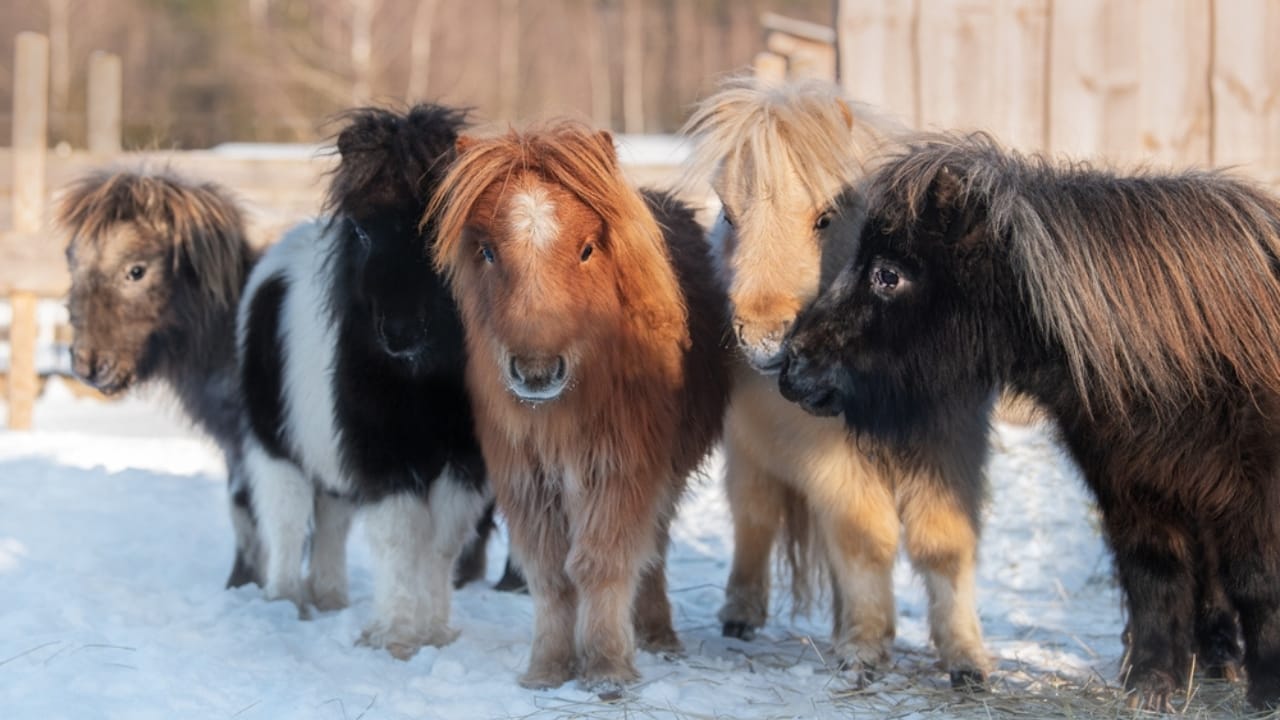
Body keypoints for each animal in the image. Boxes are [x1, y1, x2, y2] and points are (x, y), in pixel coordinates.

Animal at [59, 169, 263, 590]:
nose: (89, 365)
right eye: (72, 260)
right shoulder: (237, 446)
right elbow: (244, 510)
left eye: (136, 270)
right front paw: (242, 587)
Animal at [238, 103, 487, 659]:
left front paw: (433, 633)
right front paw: (395, 637)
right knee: (286, 521)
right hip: (275, 446)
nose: (398, 333)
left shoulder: (461, 461)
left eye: (436, 229)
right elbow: (400, 538)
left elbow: (441, 542)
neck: (422, 381)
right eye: (362, 232)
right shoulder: (382, 456)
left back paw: (329, 598)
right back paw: (287, 602)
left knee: (330, 521)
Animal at [429, 120, 732, 690]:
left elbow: (602, 564)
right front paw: (547, 668)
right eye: (487, 252)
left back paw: (657, 634)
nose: (537, 371)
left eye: (588, 249)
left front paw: (608, 668)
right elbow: (550, 575)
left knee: (653, 551)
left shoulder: (621, 469)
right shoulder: (527, 478)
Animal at [679, 75, 990, 687]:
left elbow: (943, 545)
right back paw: (741, 615)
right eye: (728, 213)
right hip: (751, 456)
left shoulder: (947, 451)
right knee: (755, 520)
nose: (765, 339)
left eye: (825, 217)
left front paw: (966, 658)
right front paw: (865, 652)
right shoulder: (833, 459)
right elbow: (865, 542)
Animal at [779, 132, 1280, 710]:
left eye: (888, 274)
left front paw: (1267, 692)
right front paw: (1150, 686)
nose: (791, 366)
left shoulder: (1251, 497)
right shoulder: (1134, 489)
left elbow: (1258, 583)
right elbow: (1156, 579)